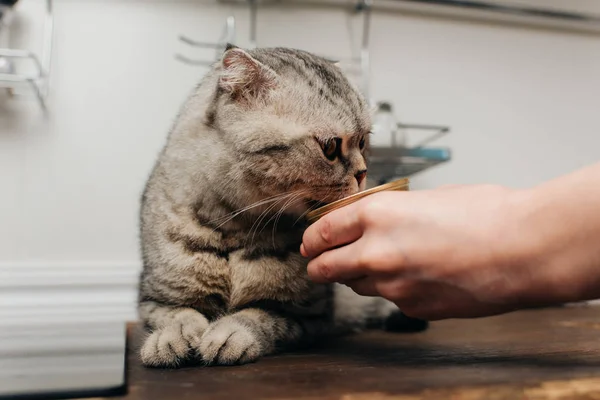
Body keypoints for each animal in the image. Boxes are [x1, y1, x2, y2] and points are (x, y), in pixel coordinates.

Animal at [138, 45, 424, 368]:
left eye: (363, 142)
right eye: (330, 147)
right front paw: (168, 340)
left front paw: (228, 335)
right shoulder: (155, 299)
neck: (232, 226)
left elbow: (258, 316)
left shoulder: (306, 314)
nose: (363, 173)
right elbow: (177, 315)